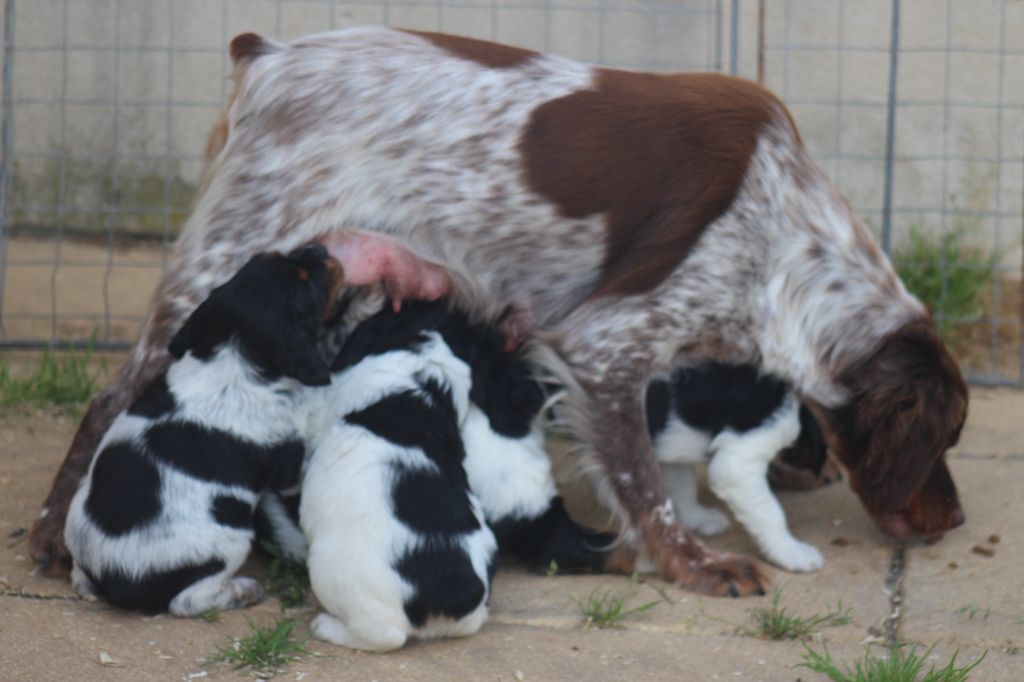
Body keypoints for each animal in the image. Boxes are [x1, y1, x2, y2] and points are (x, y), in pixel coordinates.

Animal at [64, 245, 339, 614]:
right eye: (305, 278)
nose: (321, 248)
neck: (233, 360)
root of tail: (111, 578)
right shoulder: (288, 461)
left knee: (78, 576)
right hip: (229, 539)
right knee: (187, 601)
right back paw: (241, 591)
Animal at [647, 364, 831, 569]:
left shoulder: (669, 454)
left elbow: (682, 488)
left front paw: (697, 517)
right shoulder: (739, 462)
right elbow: (770, 511)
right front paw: (790, 551)